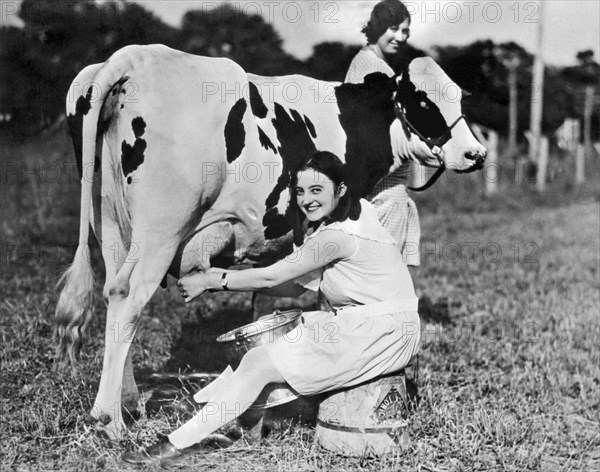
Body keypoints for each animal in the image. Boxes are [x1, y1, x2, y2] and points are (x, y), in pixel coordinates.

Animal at [55, 43, 488, 438]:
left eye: (459, 95)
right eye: (422, 100)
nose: (476, 153)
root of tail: (132, 56)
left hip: (110, 225)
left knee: (113, 295)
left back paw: (128, 403)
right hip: (161, 229)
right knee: (128, 296)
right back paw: (109, 420)